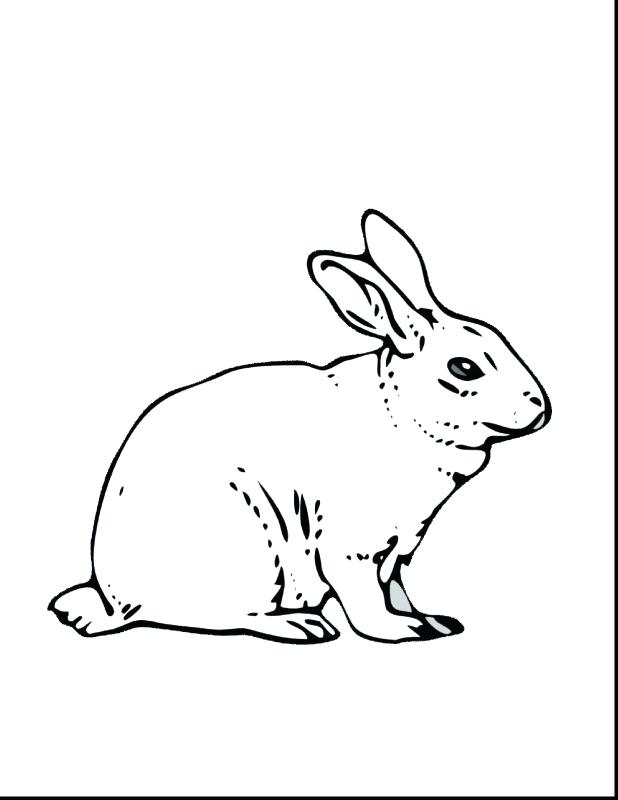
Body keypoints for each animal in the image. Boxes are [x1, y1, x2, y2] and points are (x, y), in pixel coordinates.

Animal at [49, 210, 551, 644]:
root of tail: (114, 601)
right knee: (222, 616)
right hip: (250, 548)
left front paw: (431, 621)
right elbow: (366, 598)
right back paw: (301, 626)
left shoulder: (399, 551)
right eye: (464, 368)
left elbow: (396, 589)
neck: (400, 415)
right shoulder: (354, 546)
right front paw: (399, 631)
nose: (540, 408)